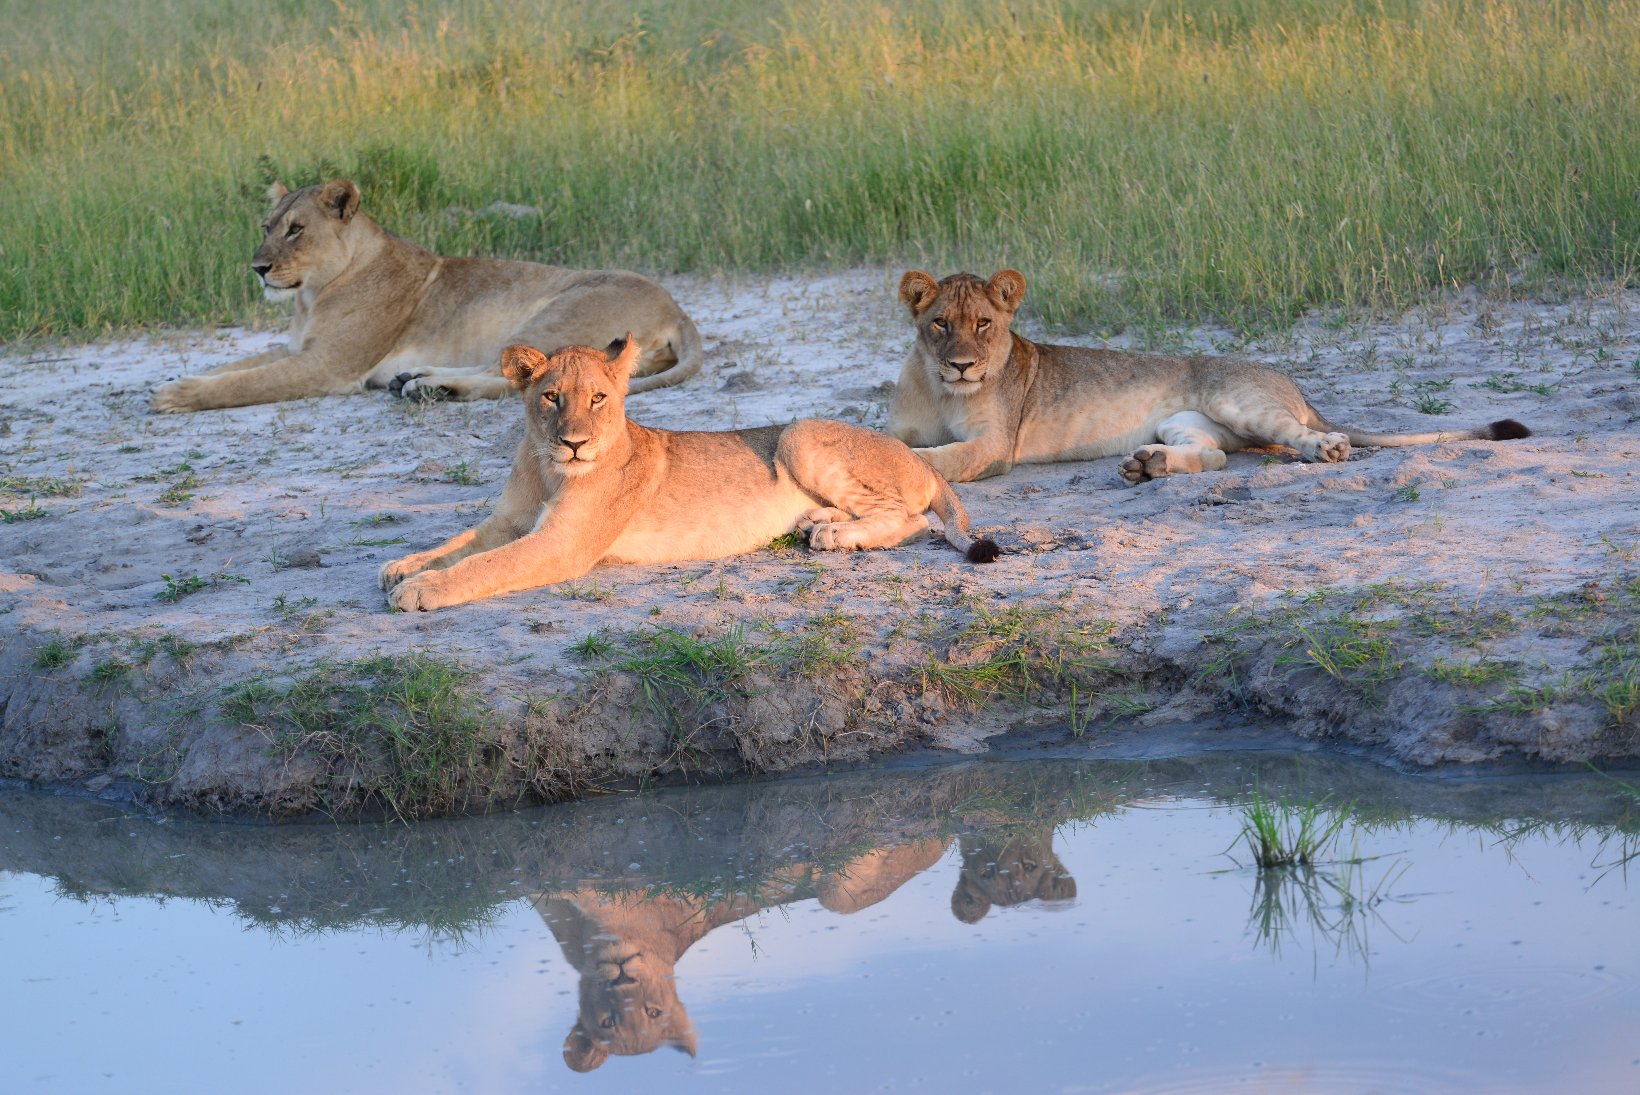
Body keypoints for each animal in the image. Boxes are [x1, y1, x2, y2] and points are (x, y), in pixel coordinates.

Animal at [150, 179, 702, 412]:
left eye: (297, 230)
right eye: (266, 227)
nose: (258, 269)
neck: (310, 296)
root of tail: (678, 308)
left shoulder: (328, 366)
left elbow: (247, 383)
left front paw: (175, 396)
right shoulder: (297, 348)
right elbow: (235, 367)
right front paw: (175, 379)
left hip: (556, 313)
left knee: (517, 381)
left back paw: (427, 389)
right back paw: (412, 379)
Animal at [379, 338, 999, 611]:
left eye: (598, 398)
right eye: (551, 397)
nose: (575, 443)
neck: (547, 467)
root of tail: (919, 458)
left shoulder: (564, 541)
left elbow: (486, 564)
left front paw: (421, 589)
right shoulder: (507, 521)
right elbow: (460, 543)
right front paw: (404, 566)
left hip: (797, 434)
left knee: (914, 520)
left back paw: (836, 535)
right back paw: (817, 522)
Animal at [888, 269, 1531, 484]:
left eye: (984, 323)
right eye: (940, 323)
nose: (962, 364)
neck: (943, 390)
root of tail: (1293, 385)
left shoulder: (996, 444)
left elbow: (948, 457)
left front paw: (919, 466)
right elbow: (899, 444)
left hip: (1240, 400)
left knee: (1306, 437)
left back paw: (1326, 448)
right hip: (1188, 421)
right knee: (1218, 456)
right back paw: (1150, 466)